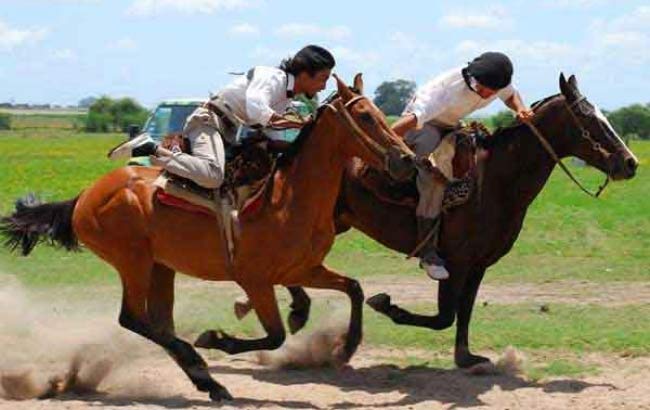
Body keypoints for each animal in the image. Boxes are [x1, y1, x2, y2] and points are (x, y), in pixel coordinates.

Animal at [0, 73, 416, 400]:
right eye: (365, 116)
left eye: (380, 112)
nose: (407, 160)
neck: (288, 196)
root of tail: (85, 196)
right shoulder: (255, 280)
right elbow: (275, 335)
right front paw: (217, 339)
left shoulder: (303, 269)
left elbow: (354, 288)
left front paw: (345, 347)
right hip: (132, 262)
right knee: (132, 318)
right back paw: (202, 369)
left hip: (160, 267)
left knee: (158, 323)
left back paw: (206, 380)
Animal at [266, 73, 636, 368]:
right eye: (589, 120)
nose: (630, 163)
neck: (496, 179)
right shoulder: (455, 262)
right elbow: (444, 316)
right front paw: (386, 305)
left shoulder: (478, 264)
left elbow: (464, 312)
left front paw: (466, 357)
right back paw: (299, 311)